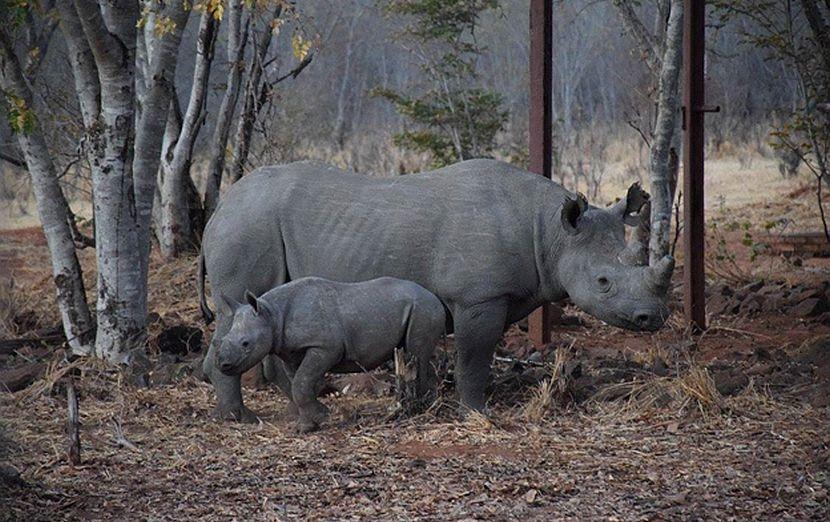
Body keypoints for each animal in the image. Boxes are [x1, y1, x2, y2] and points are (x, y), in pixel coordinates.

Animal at [216, 276, 448, 430]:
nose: (223, 365)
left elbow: (301, 383)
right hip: (419, 308)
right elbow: (298, 383)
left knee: (418, 355)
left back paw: (424, 409)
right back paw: (429, 406)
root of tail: (437, 299)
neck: (272, 314)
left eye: (246, 344)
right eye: (224, 340)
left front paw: (321, 418)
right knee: (420, 359)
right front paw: (306, 426)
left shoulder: (325, 347)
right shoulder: (290, 352)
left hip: (424, 309)